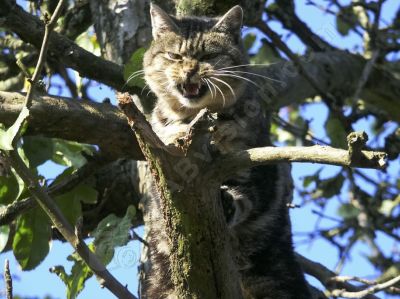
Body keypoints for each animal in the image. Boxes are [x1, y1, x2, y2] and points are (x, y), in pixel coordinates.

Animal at [139, 2, 310, 299]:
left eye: (210, 55)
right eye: (174, 55)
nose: (189, 71)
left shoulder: (257, 164)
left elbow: (248, 194)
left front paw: (228, 201)